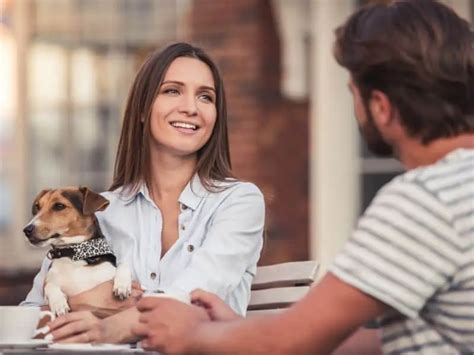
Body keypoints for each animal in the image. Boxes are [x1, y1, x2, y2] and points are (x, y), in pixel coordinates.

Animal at [23, 186, 131, 318]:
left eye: (59, 206)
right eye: (38, 207)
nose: (26, 230)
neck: (73, 255)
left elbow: (123, 266)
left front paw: (122, 285)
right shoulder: (50, 281)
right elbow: (49, 286)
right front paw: (58, 304)